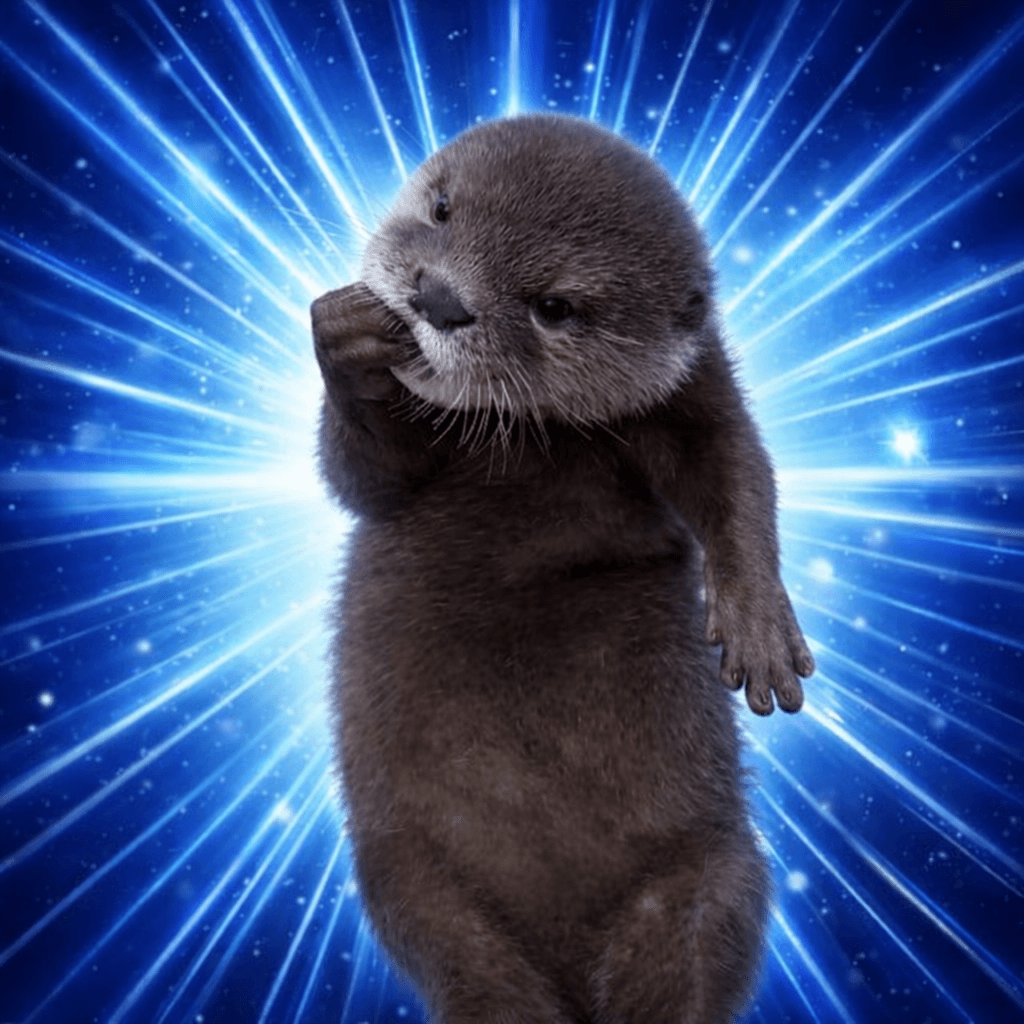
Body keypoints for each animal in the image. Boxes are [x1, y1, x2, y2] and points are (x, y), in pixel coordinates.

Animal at [312, 114, 814, 1024]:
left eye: (555, 307)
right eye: (442, 207)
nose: (438, 298)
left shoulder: (696, 389)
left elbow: (738, 476)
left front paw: (759, 629)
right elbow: (361, 478)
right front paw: (348, 336)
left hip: (711, 876)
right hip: (418, 890)